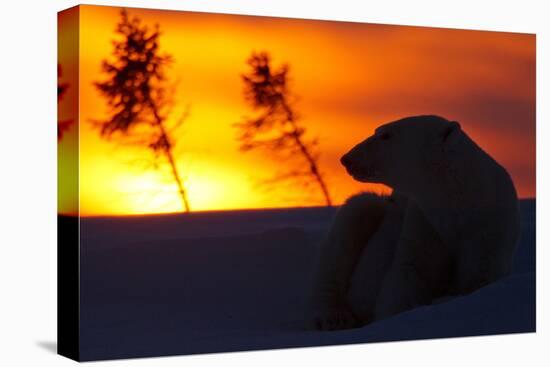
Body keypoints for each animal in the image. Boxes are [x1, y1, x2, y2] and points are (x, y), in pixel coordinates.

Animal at [312, 114, 520, 330]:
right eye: (377, 130)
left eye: (386, 135)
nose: (347, 159)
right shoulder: (423, 222)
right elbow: (410, 274)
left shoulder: (488, 227)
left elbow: (477, 277)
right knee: (353, 222)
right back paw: (334, 317)